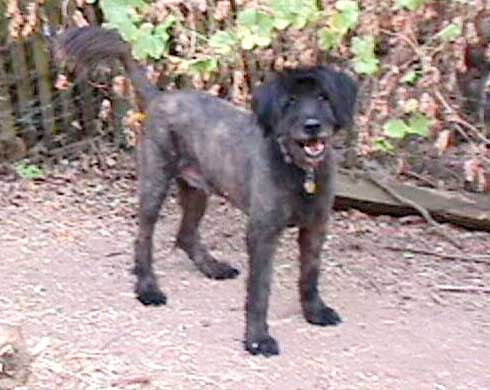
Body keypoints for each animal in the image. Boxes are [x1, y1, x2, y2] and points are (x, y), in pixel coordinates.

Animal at [57, 26, 358, 356]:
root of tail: (158, 98)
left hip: (197, 190)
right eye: (290, 101)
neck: (299, 169)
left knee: (185, 234)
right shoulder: (262, 232)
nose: (312, 125)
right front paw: (257, 338)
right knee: (143, 238)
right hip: (154, 184)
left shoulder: (316, 226)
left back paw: (212, 267)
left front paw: (314, 311)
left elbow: (310, 274)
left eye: (323, 97)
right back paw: (148, 288)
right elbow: (259, 289)